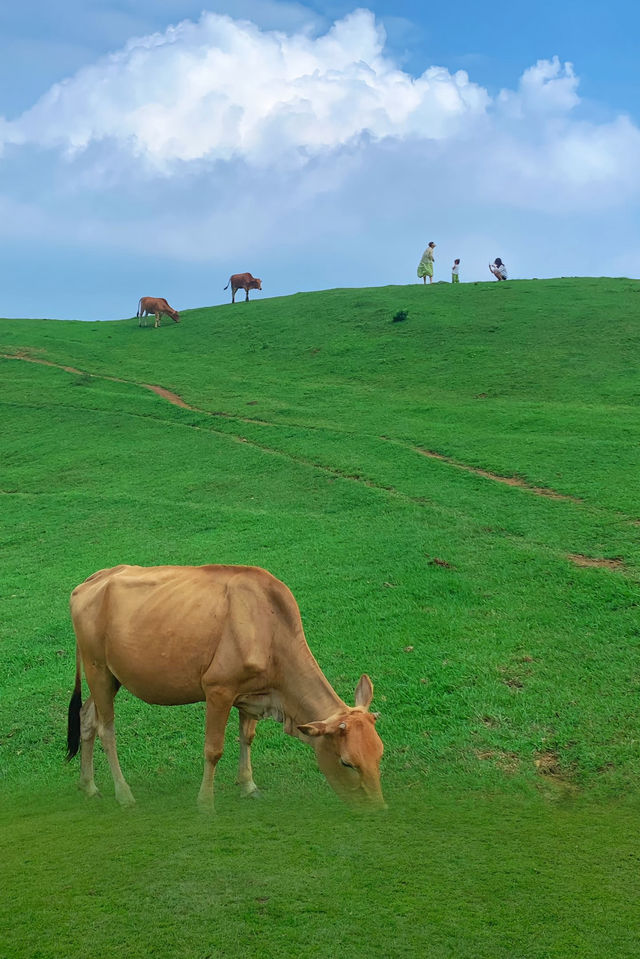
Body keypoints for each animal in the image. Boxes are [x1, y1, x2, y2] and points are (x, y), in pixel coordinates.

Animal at [66, 564, 384, 808]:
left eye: (379, 754)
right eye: (347, 763)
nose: (378, 809)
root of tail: (94, 578)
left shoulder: (252, 693)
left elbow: (247, 737)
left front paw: (248, 785)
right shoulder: (218, 690)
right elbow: (213, 749)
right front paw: (206, 803)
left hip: (109, 676)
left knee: (86, 718)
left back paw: (88, 785)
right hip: (97, 669)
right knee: (106, 729)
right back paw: (124, 794)